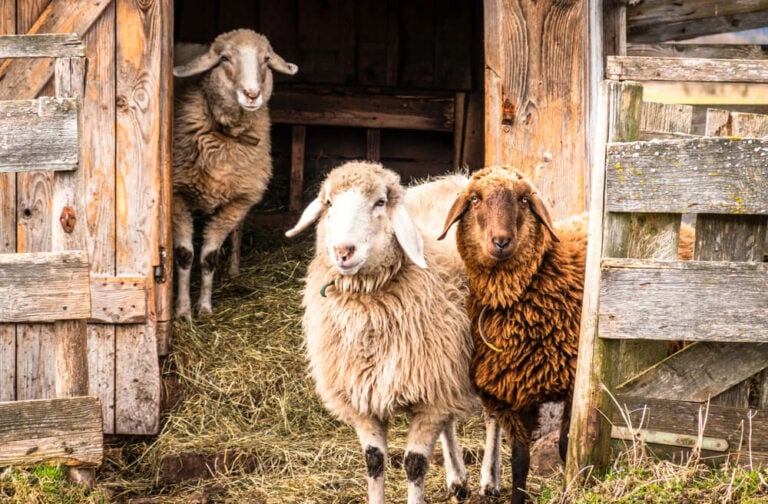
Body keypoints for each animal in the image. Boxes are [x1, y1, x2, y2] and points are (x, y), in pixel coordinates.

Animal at [172, 29, 298, 320]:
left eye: (266, 59)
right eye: (225, 58)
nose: (252, 94)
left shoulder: (238, 201)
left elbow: (209, 257)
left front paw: (205, 308)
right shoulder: (178, 196)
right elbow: (185, 255)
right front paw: (182, 311)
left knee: (238, 230)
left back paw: (234, 270)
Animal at [285, 161, 477, 504]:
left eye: (380, 202)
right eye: (329, 203)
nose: (343, 251)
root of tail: (458, 177)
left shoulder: (432, 399)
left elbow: (415, 464)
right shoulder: (366, 397)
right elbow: (373, 461)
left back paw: (490, 481)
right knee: (450, 426)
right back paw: (458, 479)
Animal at [437, 166, 586, 503]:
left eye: (523, 200)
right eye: (475, 199)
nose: (501, 241)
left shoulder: (574, 383)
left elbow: (566, 445)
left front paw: (569, 491)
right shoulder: (514, 392)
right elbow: (519, 460)